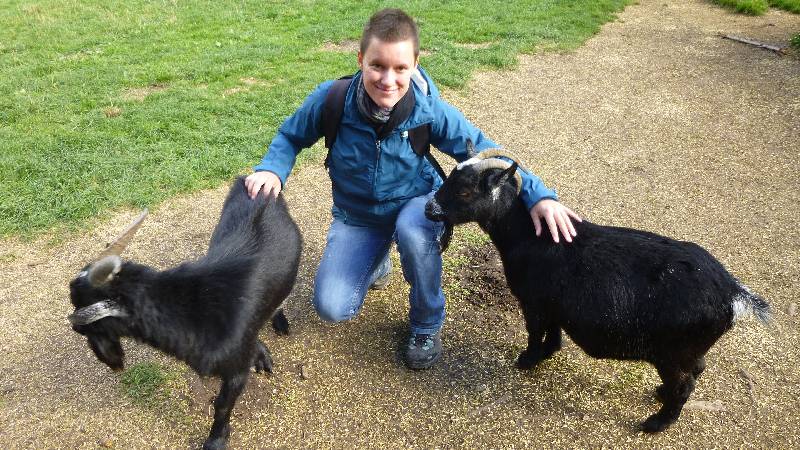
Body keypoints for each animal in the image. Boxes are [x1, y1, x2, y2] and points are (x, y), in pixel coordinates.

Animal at [67, 177, 300, 450]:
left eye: (79, 303)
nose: (74, 326)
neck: (192, 308)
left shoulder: (236, 371)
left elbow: (223, 405)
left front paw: (215, 441)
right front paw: (261, 354)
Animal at [428, 148, 772, 432]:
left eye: (465, 190)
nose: (430, 209)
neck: (530, 236)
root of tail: (732, 293)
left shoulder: (534, 303)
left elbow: (535, 332)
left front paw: (527, 360)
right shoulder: (553, 306)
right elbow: (553, 333)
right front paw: (547, 354)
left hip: (672, 353)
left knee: (685, 385)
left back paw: (656, 423)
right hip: (689, 350)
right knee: (697, 369)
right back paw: (660, 395)